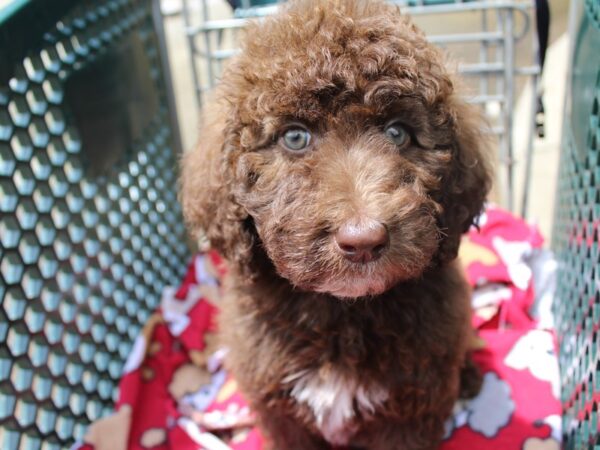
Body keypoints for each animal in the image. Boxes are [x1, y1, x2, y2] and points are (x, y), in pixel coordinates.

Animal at [180, 0, 490, 450]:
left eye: (398, 133)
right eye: (294, 137)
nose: (364, 241)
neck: (343, 312)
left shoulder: (410, 410)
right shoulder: (279, 409)